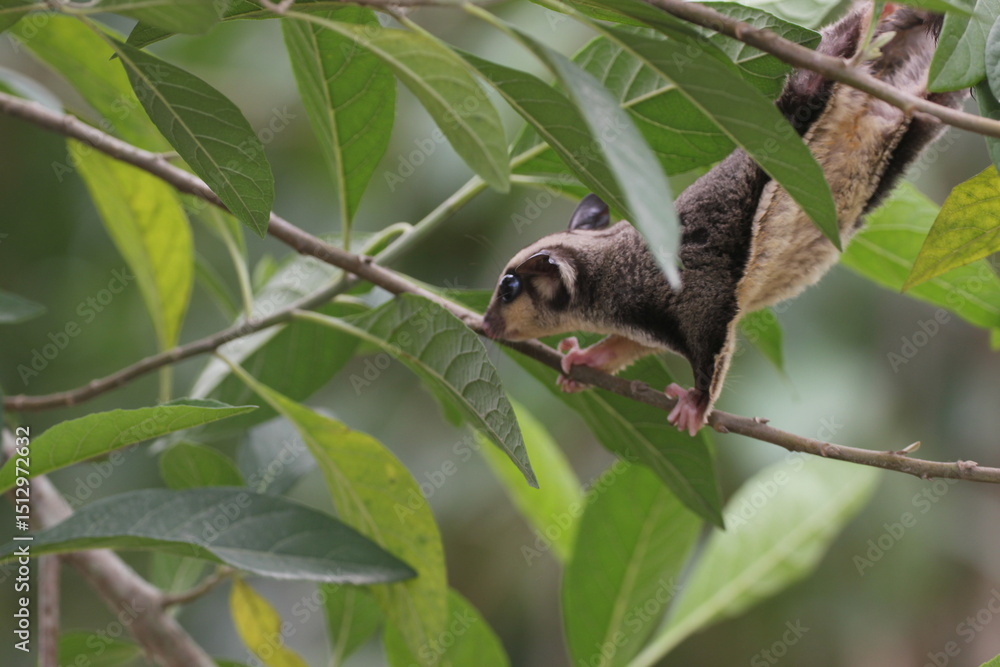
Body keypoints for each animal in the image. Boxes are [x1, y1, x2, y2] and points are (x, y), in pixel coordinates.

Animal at [481, 2, 968, 435]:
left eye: (509, 290)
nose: (484, 325)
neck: (613, 274)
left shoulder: (698, 299)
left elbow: (713, 348)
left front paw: (696, 406)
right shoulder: (648, 322)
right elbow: (627, 345)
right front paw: (585, 361)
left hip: (810, 98)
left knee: (816, 73)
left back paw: (873, 15)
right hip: (911, 124)